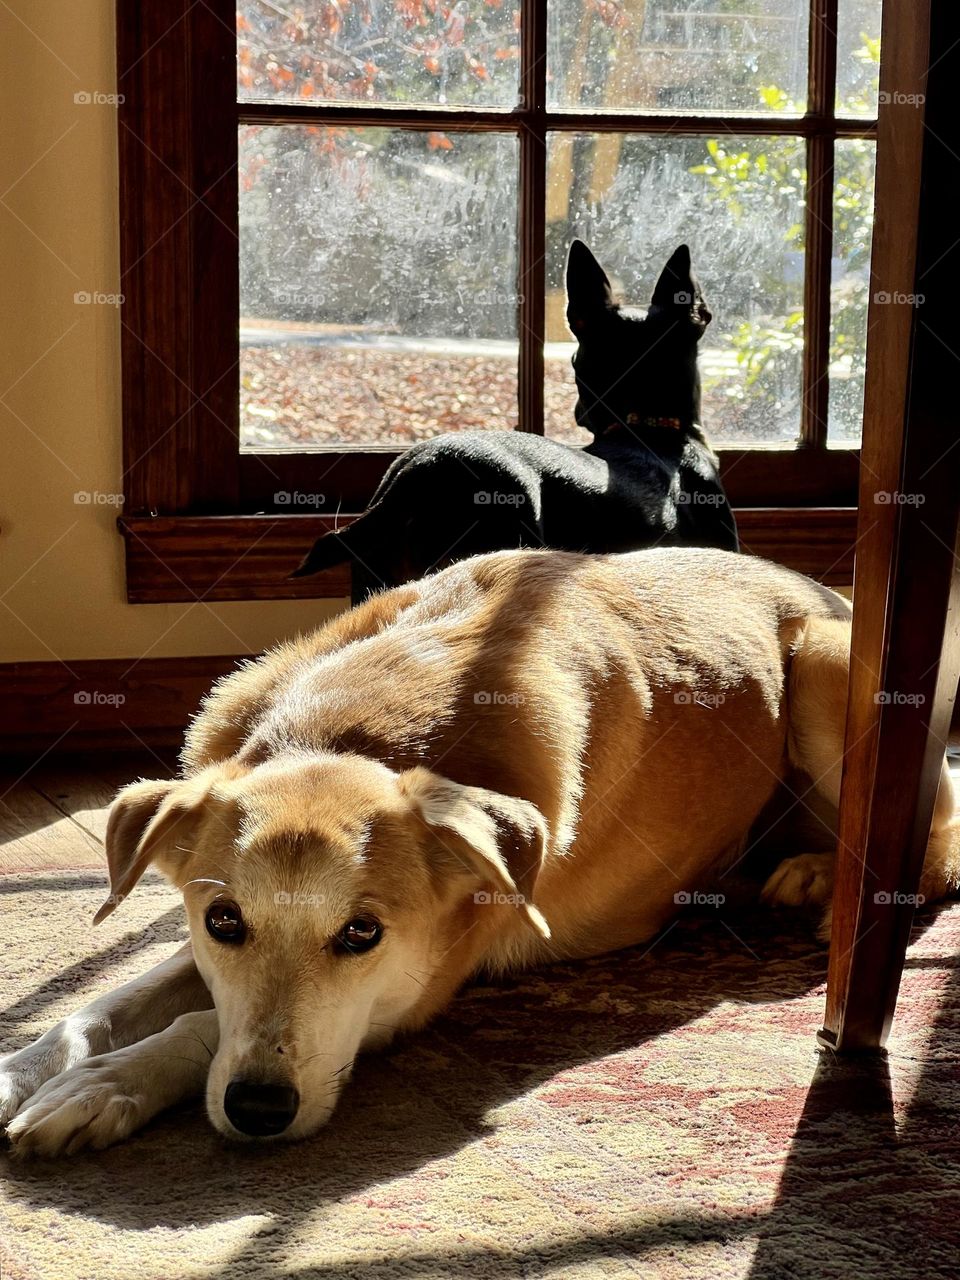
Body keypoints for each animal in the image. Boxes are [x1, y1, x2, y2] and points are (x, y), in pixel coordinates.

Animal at [3, 545, 957, 1157]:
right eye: (225, 922)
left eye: (362, 935)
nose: (260, 1110)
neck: (352, 732)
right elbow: (104, 1004)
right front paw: (31, 1067)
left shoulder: (416, 990)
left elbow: (201, 1023)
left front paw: (104, 1088)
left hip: (833, 671)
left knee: (939, 839)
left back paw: (824, 884)